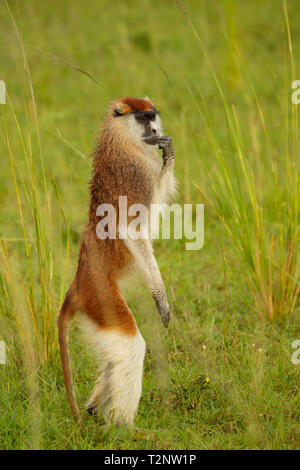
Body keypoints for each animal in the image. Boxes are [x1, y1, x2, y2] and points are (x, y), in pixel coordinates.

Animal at [58, 96, 176, 426]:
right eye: (143, 118)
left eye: (152, 116)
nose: (154, 129)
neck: (121, 138)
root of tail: (78, 283)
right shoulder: (134, 172)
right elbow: (130, 229)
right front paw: (160, 297)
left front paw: (168, 150)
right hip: (101, 298)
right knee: (130, 347)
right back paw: (121, 427)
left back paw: (94, 409)